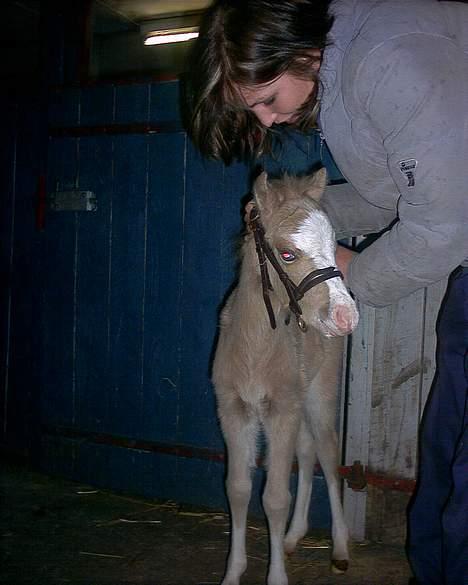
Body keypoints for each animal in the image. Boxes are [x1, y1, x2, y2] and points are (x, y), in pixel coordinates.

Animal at [212, 168, 358, 584]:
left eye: (333, 245)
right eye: (287, 253)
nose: (346, 316)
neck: (254, 350)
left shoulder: (282, 411)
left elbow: (275, 498)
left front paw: (276, 575)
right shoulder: (233, 410)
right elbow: (238, 489)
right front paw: (233, 572)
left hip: (318, 397)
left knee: (327, 454)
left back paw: (340, 548)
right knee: (306, 454)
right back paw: (294, 536)